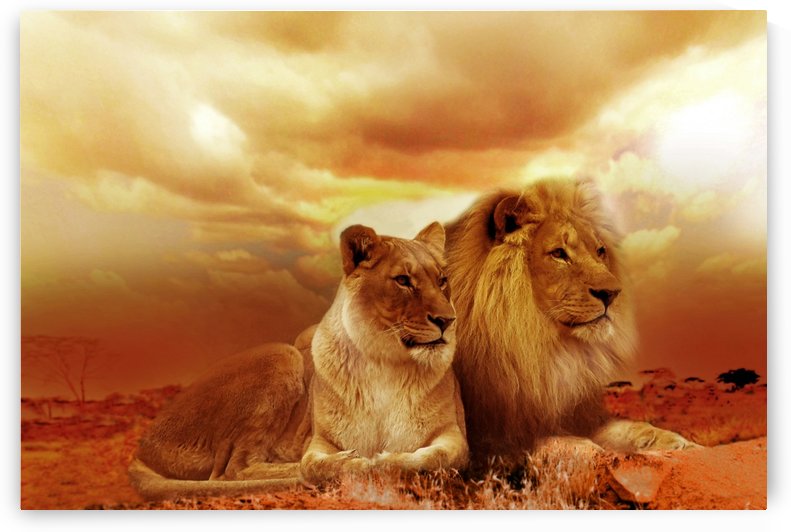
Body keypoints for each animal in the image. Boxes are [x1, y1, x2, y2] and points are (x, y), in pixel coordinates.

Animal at [300, 222, 469, 482]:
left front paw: (384, 461)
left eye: (442, 280)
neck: (383, 361)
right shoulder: (319, 439)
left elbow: (434, 456)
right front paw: (353, 462)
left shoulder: (452, 432)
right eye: (403, 280)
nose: (448, 320)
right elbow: (312, 465)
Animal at [444, 178, 699, 463]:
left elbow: (628, 427)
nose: (612, 293)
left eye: (600, 251)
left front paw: (677, 442)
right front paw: (591, 454)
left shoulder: (579, 416)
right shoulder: (491, 441)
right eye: (559, 253)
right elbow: (557, 440)